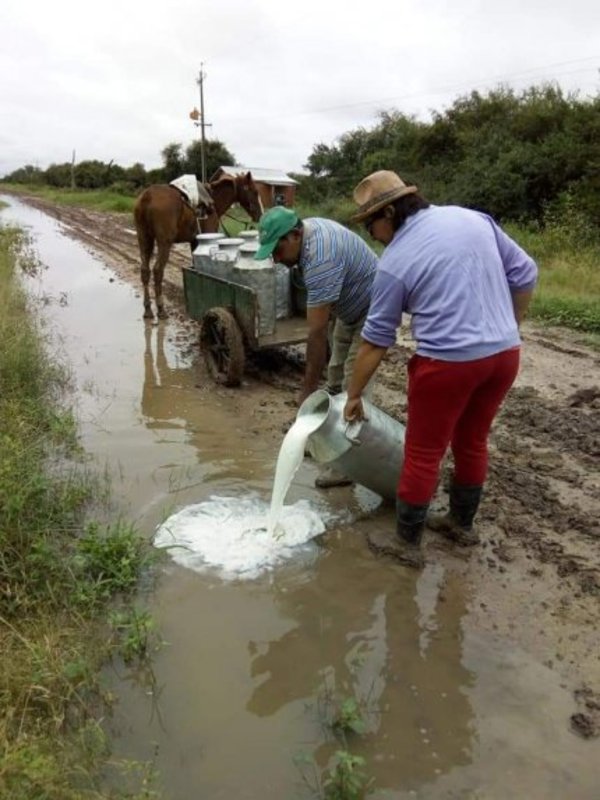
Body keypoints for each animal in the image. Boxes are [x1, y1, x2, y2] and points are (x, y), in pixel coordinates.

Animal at [135, 172, 262, 318]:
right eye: (254, 191)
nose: (260, 214)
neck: (214, 201)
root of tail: (147, 197)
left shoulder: (195, 241)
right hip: (164, 243)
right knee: (157, 271)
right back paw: (161, 309)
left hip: (144, 239)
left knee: (145, 271)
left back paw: (148, 309)